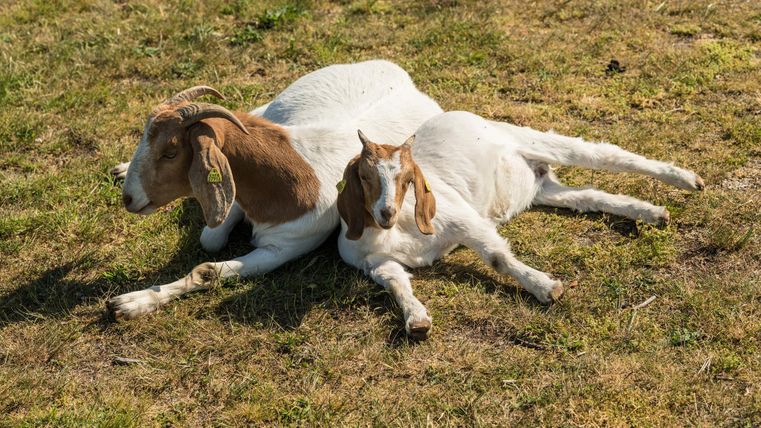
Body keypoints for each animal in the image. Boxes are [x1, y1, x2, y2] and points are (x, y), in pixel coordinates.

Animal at [108, 60, 444, 320]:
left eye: (170, 152)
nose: (129, 198)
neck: (293, 177)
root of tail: (402, 77)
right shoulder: (236, 196)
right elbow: (210, 239)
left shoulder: (282, 247)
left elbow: (207, 268)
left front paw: (130, 303)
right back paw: (119, 168)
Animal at [337, 111, 704, 339]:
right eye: (365, 177)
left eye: (407, 179)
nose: (386, 212)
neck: (392, 233)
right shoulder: (375, 263)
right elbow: (396, 283)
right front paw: (417, 320)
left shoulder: (462, 219)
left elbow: (497, 257)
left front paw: (546, 288)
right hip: (546, 191)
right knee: (589, 196)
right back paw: (652, 213)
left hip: (536, 140)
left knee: (606, 156)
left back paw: (688, 180)